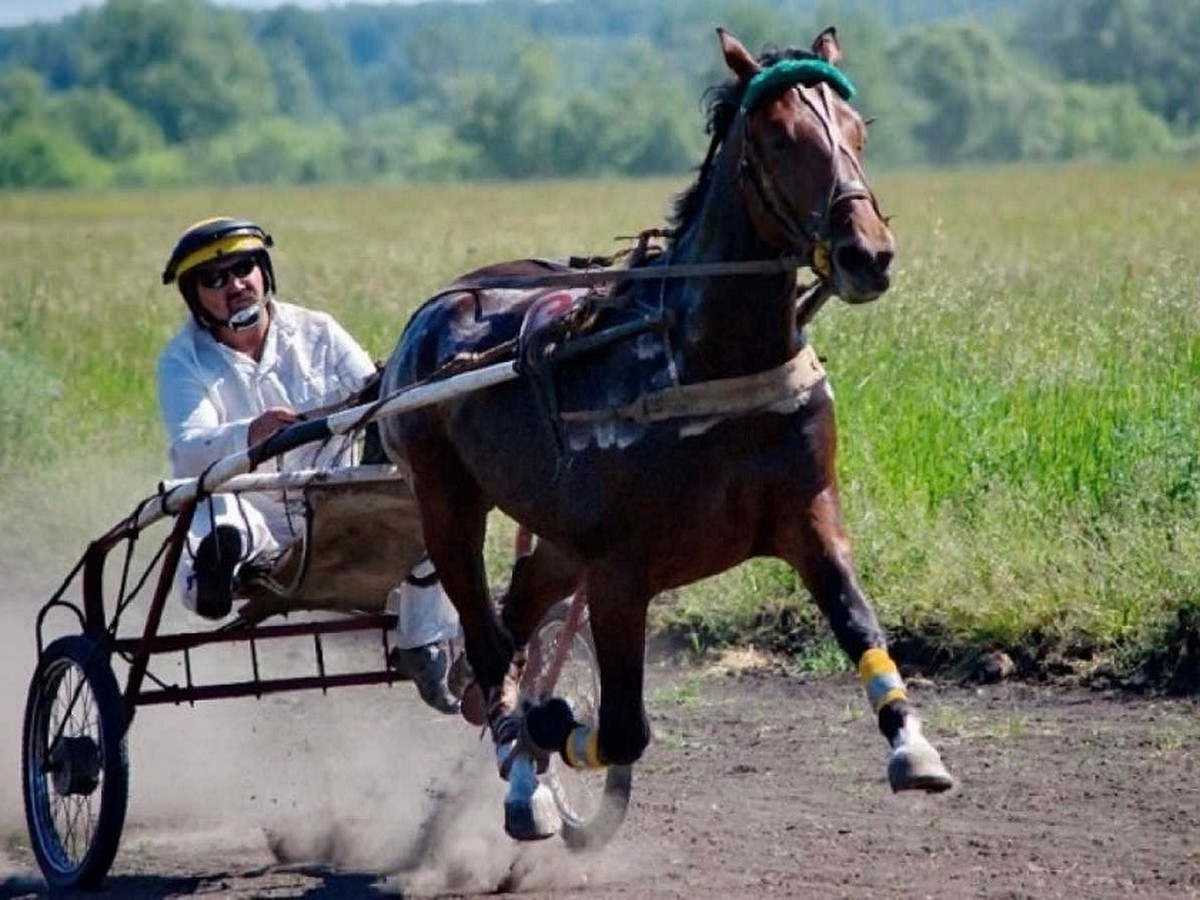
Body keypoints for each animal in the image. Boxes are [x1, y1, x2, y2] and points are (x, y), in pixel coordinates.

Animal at [379, 26, 950, 844]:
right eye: (779, 137)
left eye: (857, 130)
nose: (866, 254)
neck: (704, 359)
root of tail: (436, 310)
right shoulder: (620, 568)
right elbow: (623, 728)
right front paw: (548, 722)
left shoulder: (809, 514)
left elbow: (857, 619)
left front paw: (912, 745)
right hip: (444, 502)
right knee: (490, 645)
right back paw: (523, 764)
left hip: (557, 542)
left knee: (518, 617)